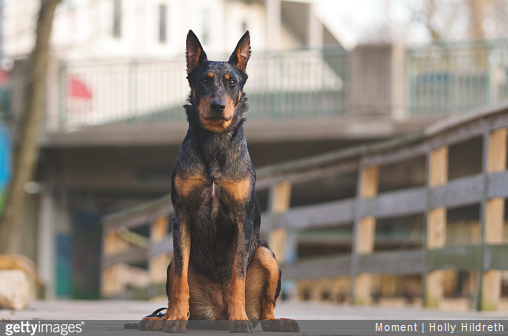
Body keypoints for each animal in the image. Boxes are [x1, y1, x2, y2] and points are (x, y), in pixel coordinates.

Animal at [137, 32, 300, 334]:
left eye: (231, 82)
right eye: (204, 80)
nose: (217, 106)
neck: (214, 141)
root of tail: (216, 312)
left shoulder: (241, 220)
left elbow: (237, 277)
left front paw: (239, 318)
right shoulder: (182, 218)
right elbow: (180, 281)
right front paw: (175, 318)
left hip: (267, 255)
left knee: (266, 308)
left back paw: (275, 320)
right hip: (171, 264)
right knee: (176, 280)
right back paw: (160, 318)